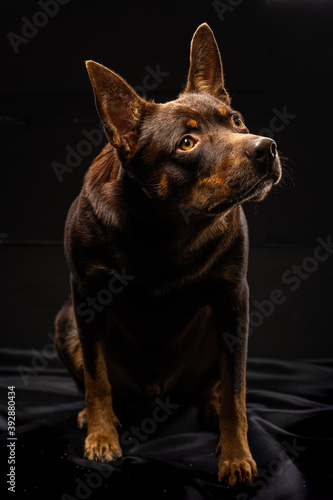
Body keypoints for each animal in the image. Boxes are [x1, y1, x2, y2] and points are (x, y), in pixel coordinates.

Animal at [54, 21, 280, 486]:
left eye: (236, 121)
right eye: (187, 143)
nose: (265, 147)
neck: (170, 227)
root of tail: (157, 396)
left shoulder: (234, 300)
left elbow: (236, 391)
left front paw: (236, 456)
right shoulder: (86, 295)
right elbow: (98, 378)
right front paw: (101, 438)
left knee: (217, 384)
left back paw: (208, 408)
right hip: (65, 323)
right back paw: (94, 416)